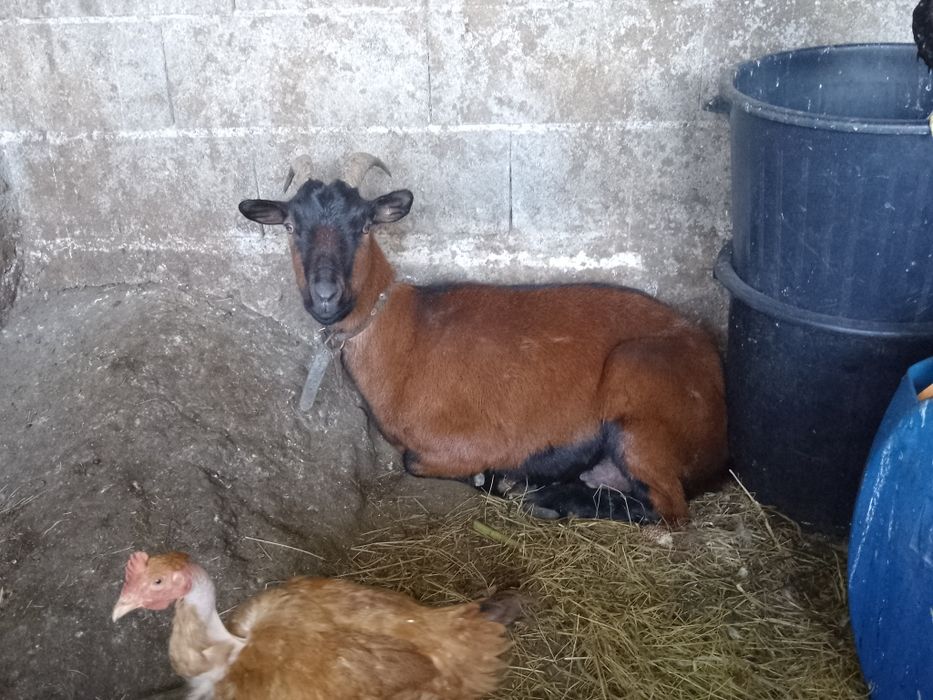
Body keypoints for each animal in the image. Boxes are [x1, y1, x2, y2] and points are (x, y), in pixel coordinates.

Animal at [238, 153, 727, 524]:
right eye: (289, 226)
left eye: (364, 225)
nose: (326, 295)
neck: (405, 331)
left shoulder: (469, 441)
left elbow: (416, 461)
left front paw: (491, 478)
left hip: (638, 399)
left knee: (668, 508)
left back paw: (543, 498)